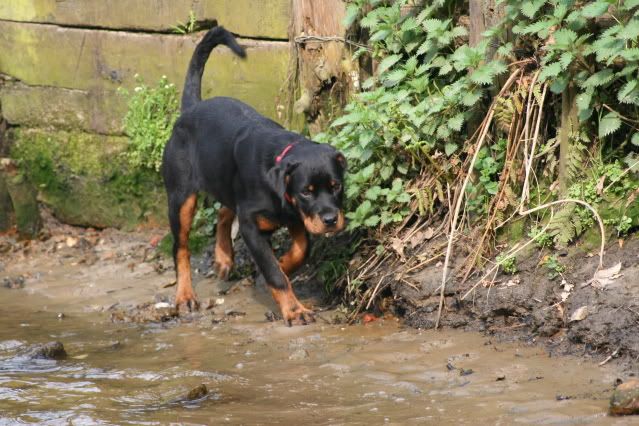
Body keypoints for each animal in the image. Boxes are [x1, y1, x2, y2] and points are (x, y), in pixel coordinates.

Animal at [162, 26, 348, 324]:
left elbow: (301, 249)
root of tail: (191, 109)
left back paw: (224, 257)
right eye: (306, 192)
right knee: (181, 247)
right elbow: (274, 272)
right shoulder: (252, 225)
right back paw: (185, 296)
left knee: (224, 210)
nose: (331, 220)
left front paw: (283, 263)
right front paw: (294, 310)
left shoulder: (294, 216)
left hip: (224, 178)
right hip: (181, 197)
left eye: (336, 186)